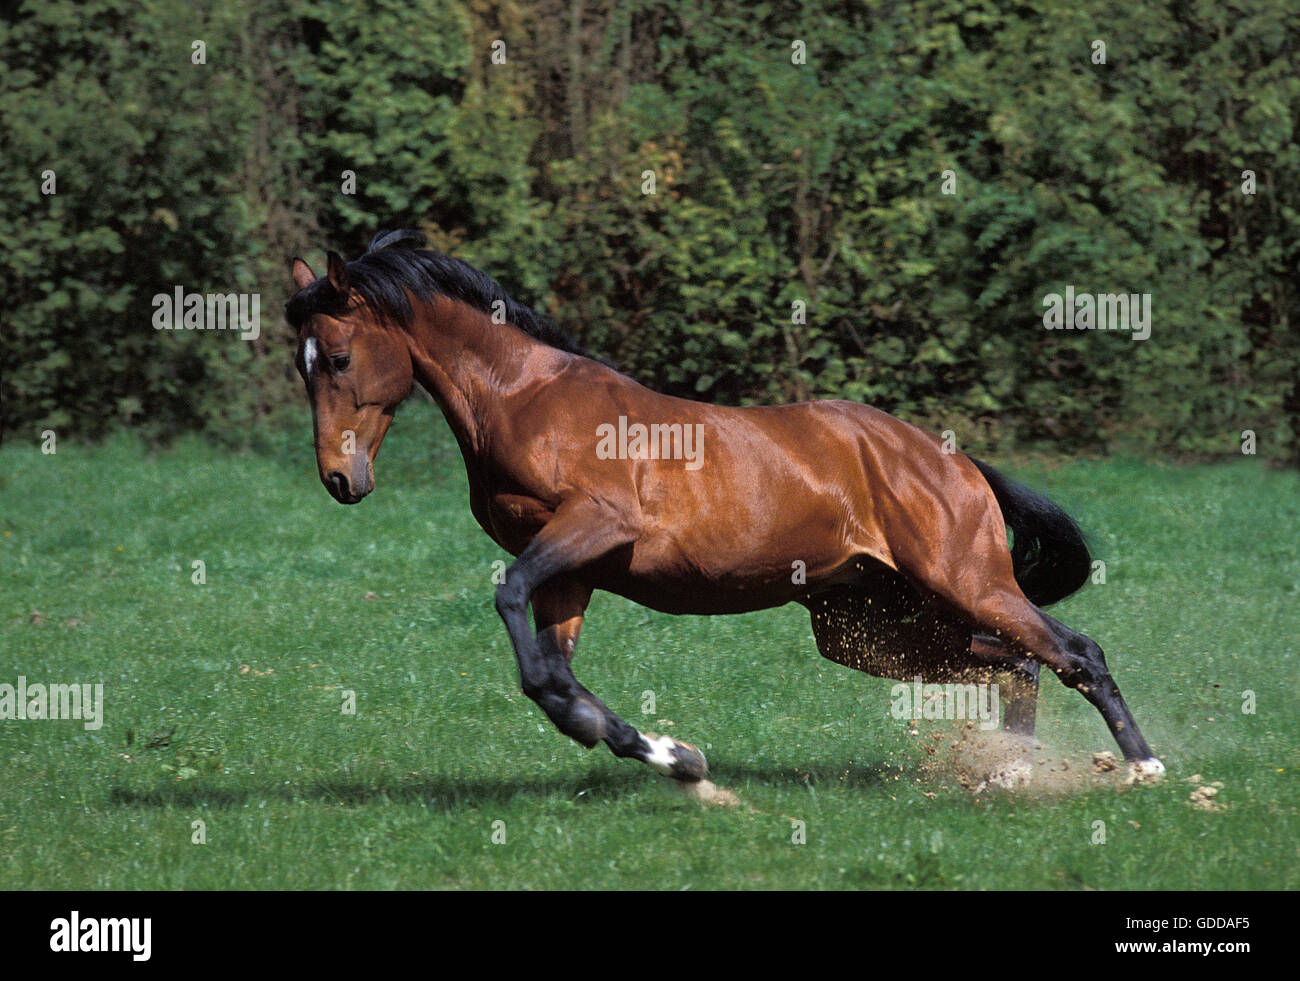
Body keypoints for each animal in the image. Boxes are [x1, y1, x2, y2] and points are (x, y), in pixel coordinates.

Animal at [287, 228, 1170, 789]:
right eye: (302, 365)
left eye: (338, 358)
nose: (339, 478)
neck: (524, 399)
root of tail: (949, 458)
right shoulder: (572, 570)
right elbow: (554, 674)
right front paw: (671, 756)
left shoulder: (592, 527)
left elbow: (513, 609)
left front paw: (651, 749)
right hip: (871, 623)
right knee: (1018, 662)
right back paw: (1010, 771)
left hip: (965, 581)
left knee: (1074, 650)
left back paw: (1144, 767)